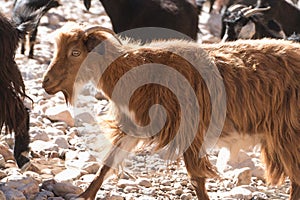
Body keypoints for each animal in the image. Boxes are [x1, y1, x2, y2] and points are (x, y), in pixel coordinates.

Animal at [42, 22, 300, 199]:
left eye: (75, 53)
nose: (46, 83)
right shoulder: (134, 125)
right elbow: (107, 163)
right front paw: (85, 194)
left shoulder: (189, 130)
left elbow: (196, 179)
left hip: (288, 133)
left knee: (296, 180)